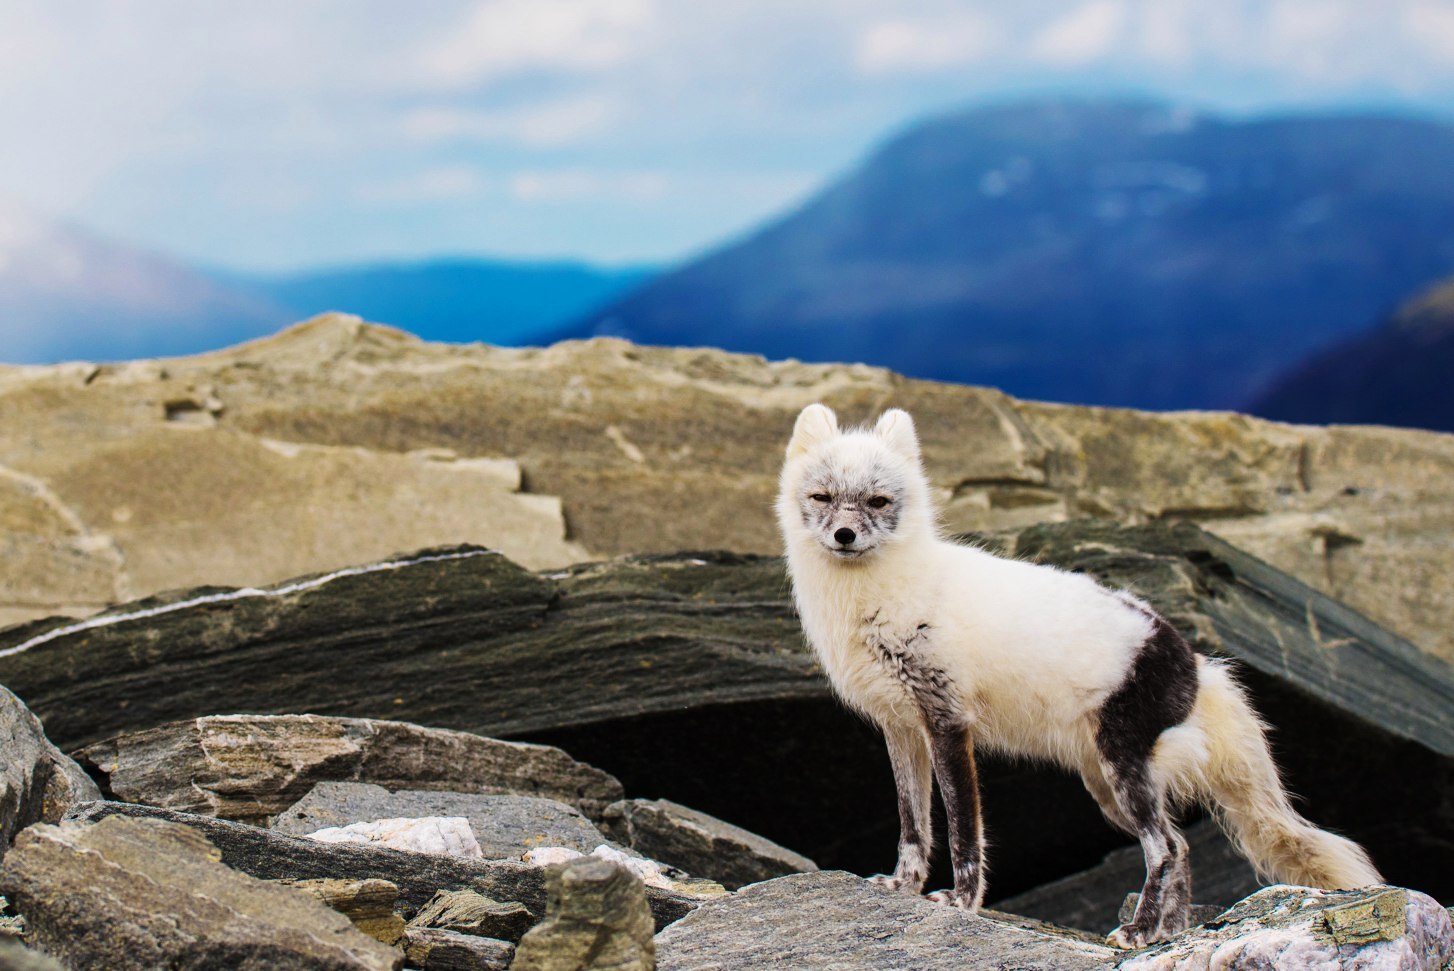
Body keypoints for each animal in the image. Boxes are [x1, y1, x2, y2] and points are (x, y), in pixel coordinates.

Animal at [779, 404, 1378, 947]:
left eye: (878, 501)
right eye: (823, 497)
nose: (845, 535)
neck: (878, 596)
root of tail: (1194, 661)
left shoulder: (948, 722)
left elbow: (963, 831)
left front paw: (962, 902)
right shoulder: (902, 728)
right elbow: (912, 826)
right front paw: (902, 887)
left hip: (1123, 773)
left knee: (1166, 848)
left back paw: (1139, 931)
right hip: (1108, 789)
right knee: (1181, 847)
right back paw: (1167, 934)